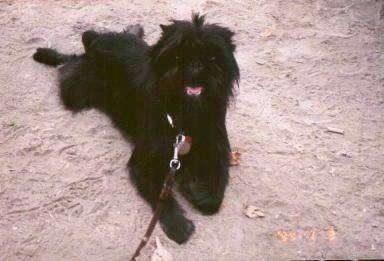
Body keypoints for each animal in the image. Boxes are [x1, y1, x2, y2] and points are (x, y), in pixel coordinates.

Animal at [34, 13, 242, 242]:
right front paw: (177, 224)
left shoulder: (217, 151)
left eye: (212, 57)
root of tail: (94, 43)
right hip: (75, 92)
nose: (196, 64)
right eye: (178, 55)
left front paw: (195, 190)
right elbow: (161, 196)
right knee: (70, 61)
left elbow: (215, 195)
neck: (184, 117)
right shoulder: (144, 163)